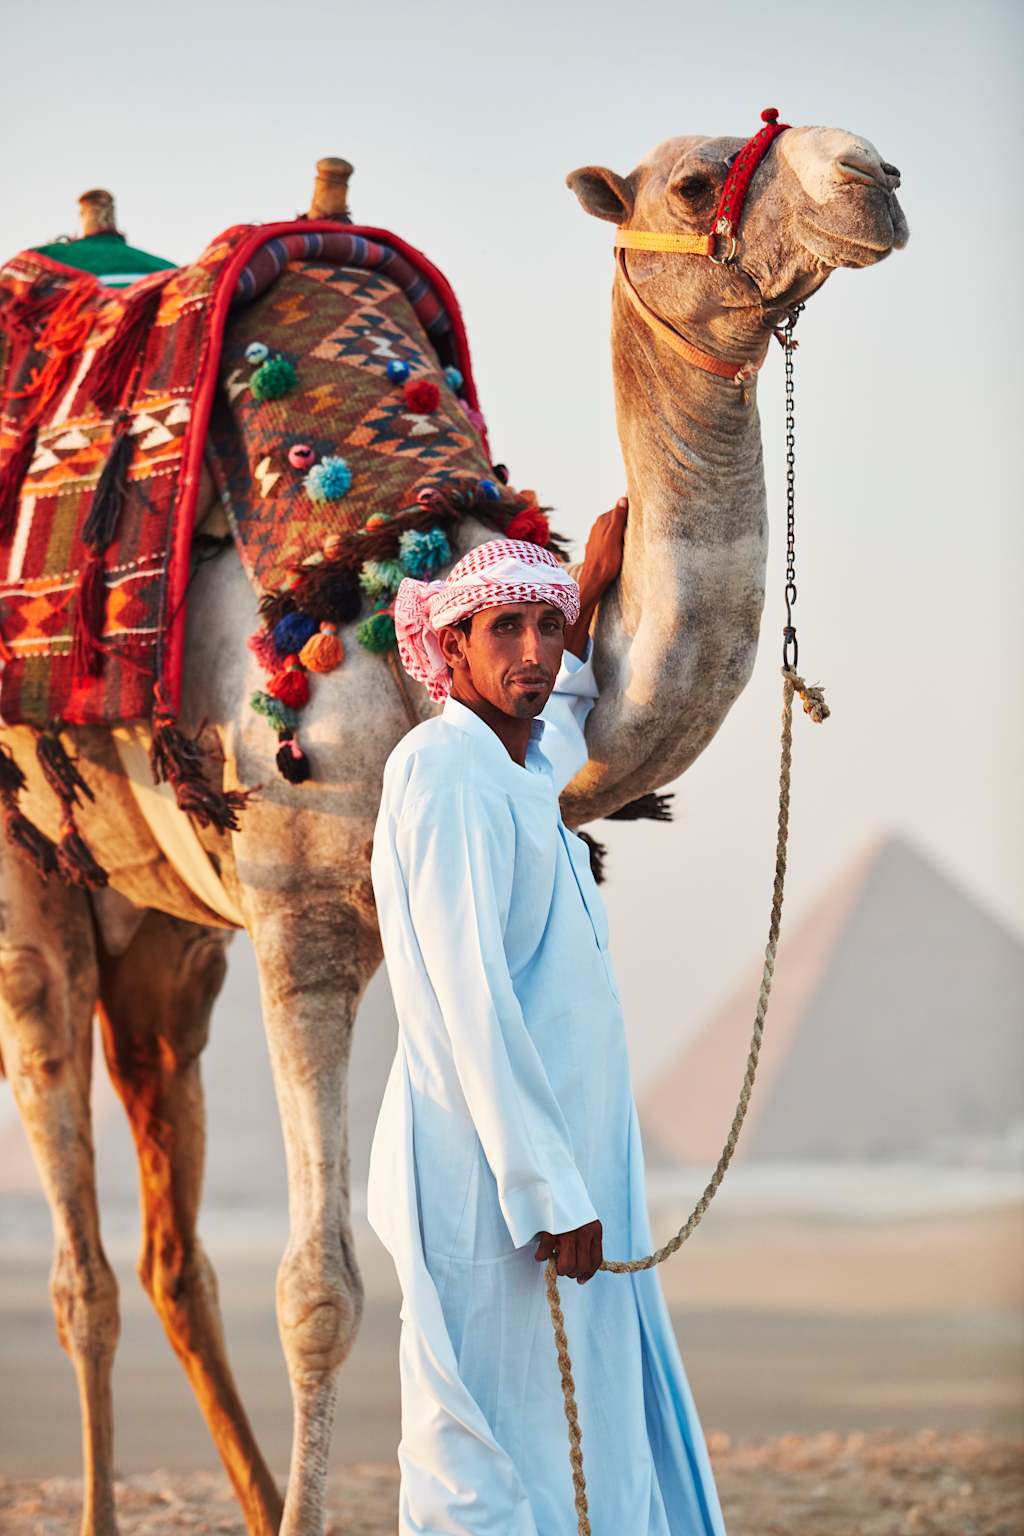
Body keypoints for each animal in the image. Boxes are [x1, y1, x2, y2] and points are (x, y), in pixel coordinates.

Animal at [0, 118, 906, 1535]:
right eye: (695, 180)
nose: (870, 176)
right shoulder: (305, 918)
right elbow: (318, 1291)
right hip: (31, 870)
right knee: (79, 1260)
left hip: (167, 930)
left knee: (168, 1245)